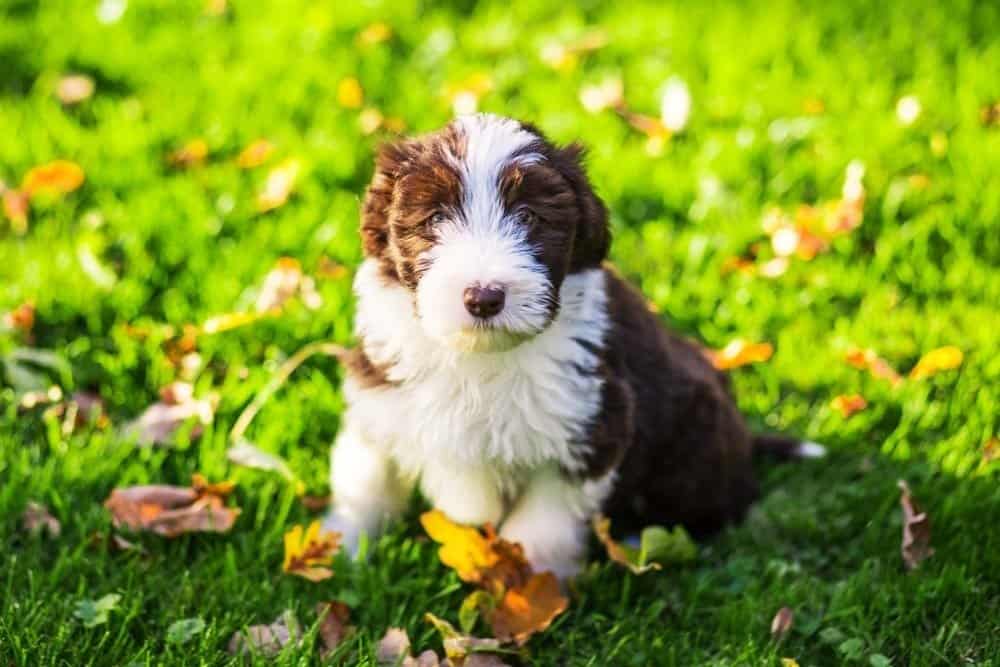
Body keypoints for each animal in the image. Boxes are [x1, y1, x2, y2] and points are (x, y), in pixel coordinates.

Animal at [324, 112, 824, 576]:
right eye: (435, 218)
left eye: (529, 217)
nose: (484, 298)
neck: (479, 358)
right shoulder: (380, 396)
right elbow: (365, 480)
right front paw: (336, 551)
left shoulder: (590, 426)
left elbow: (540, 525)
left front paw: (530, 590)